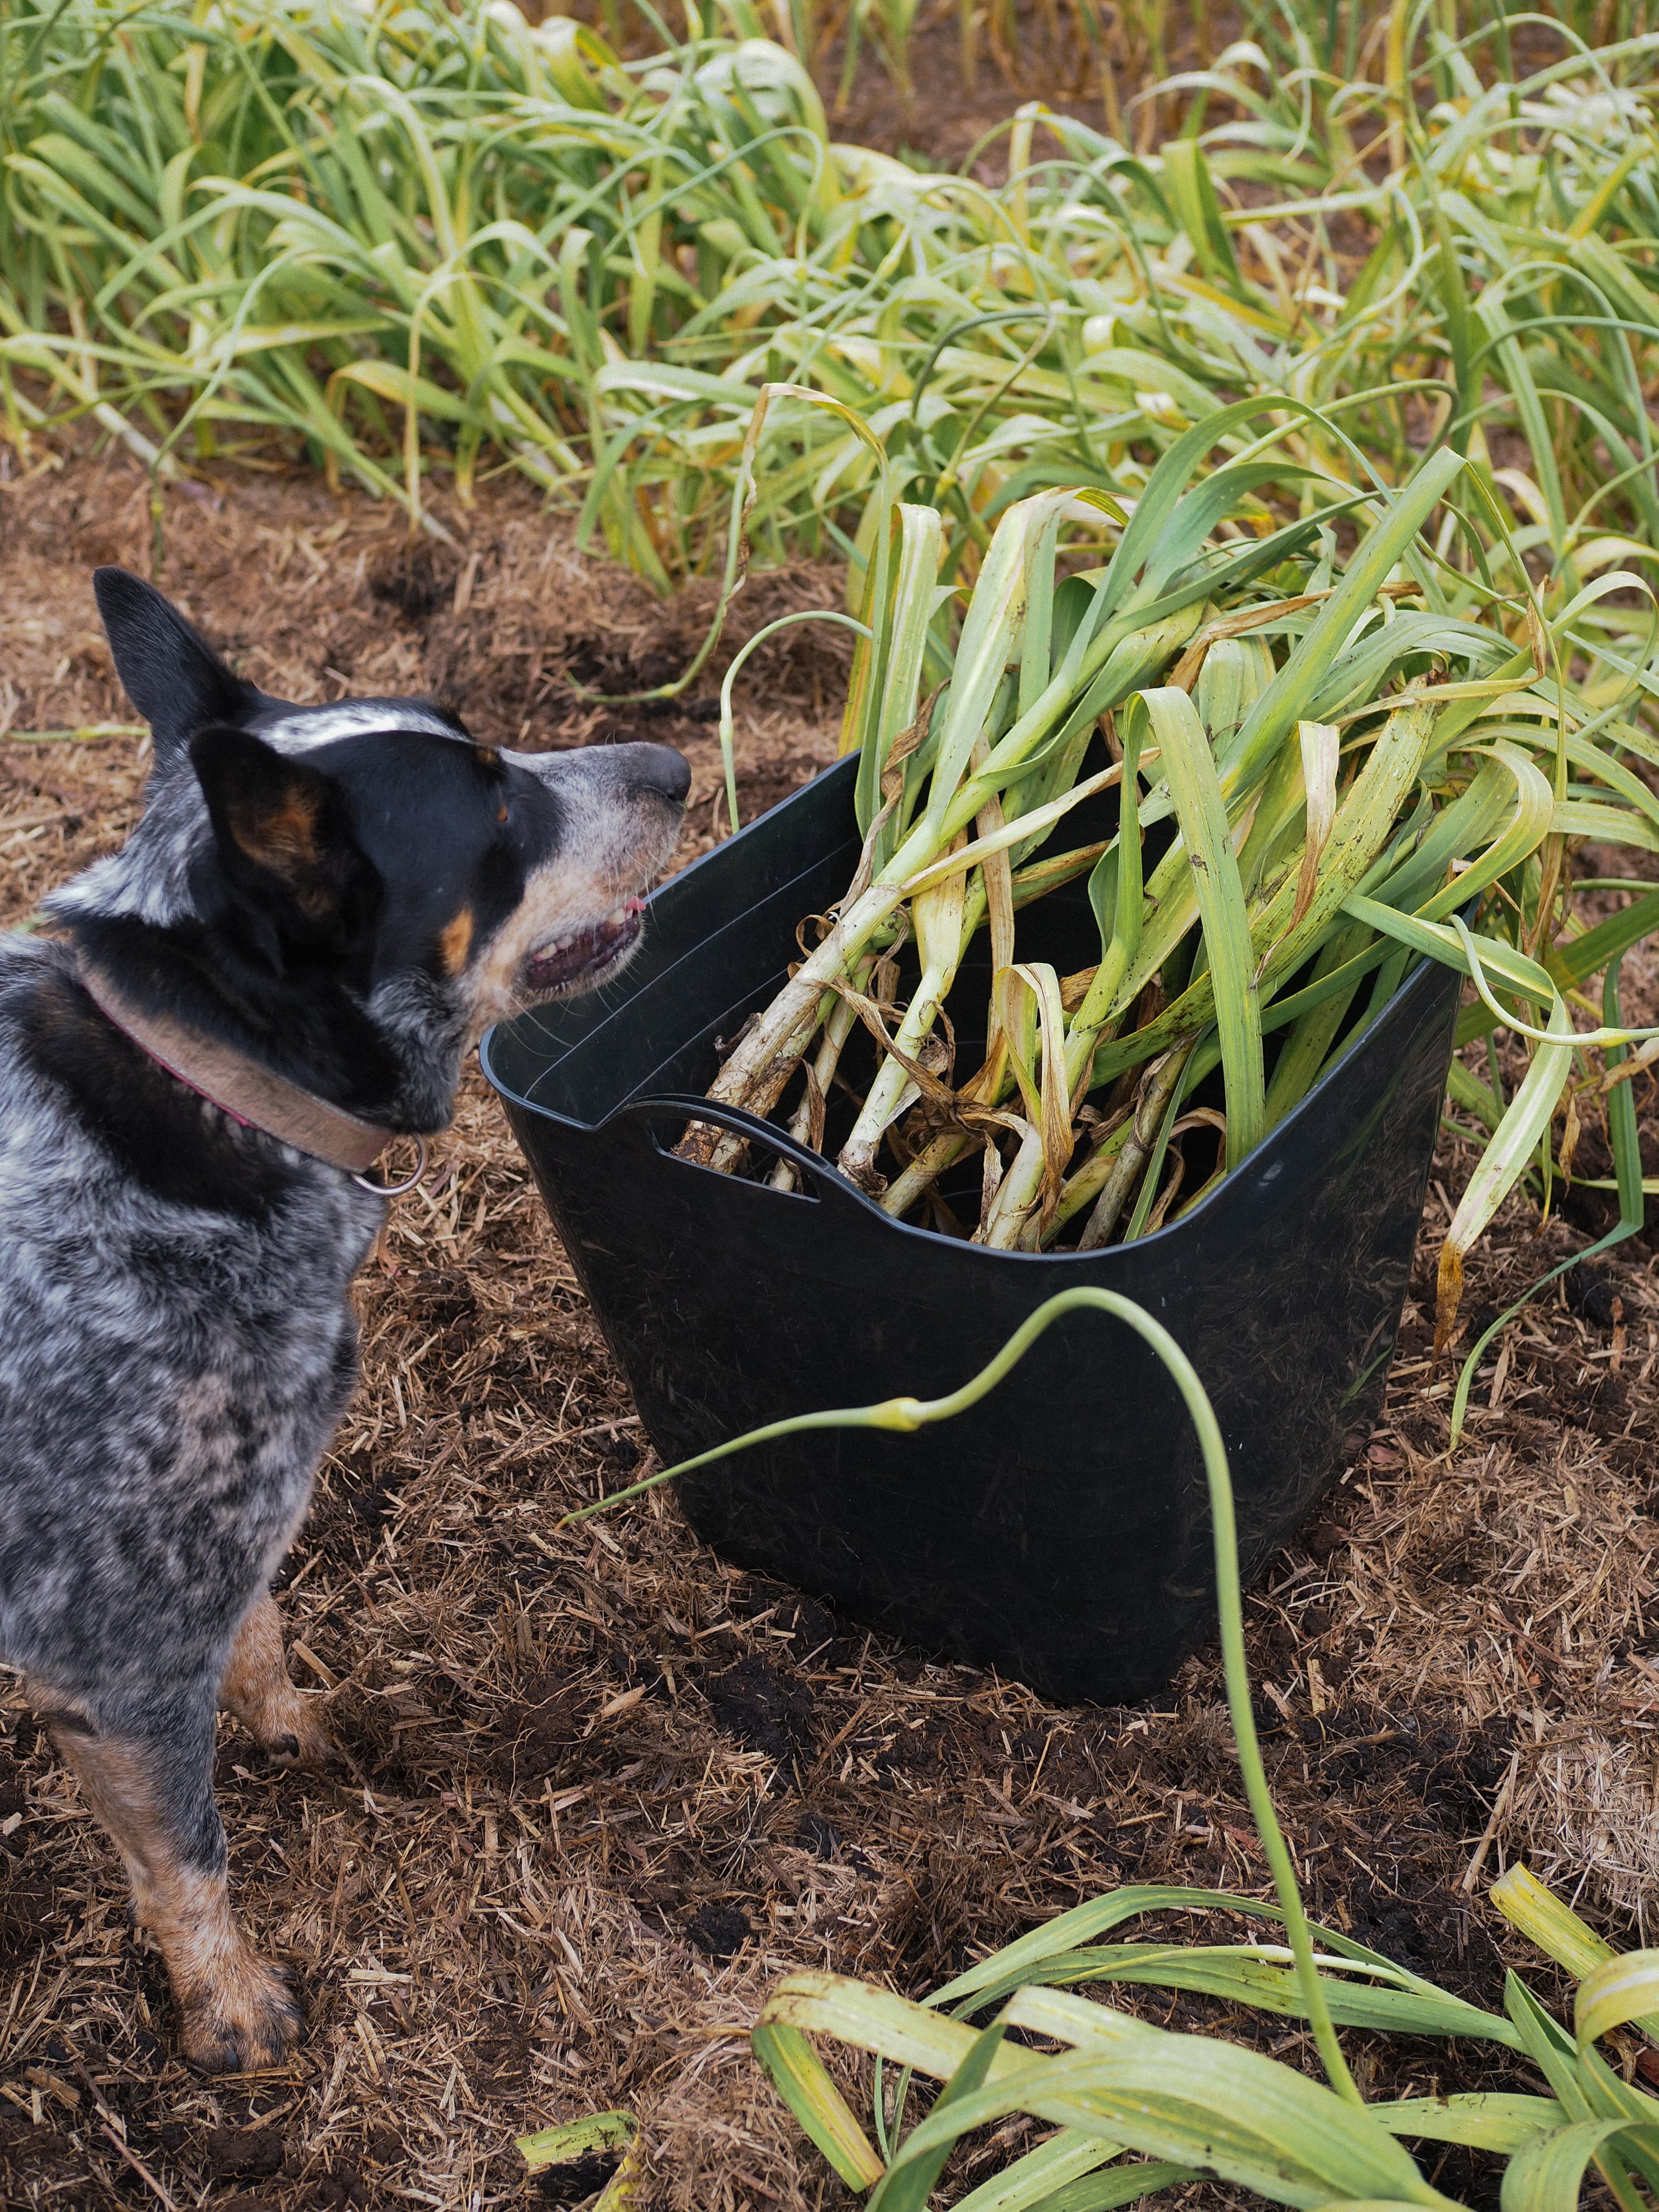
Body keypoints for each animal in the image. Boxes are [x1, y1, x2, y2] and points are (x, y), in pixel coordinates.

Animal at [0, 570, 690, 2070]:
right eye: (497, 817)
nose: (674, 764)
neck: (203, 1074)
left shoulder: (222, 1514)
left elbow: (258, 1635)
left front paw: (299, 1732)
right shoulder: (113, 1643)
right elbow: (185, 1852)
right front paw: (227, 2007)